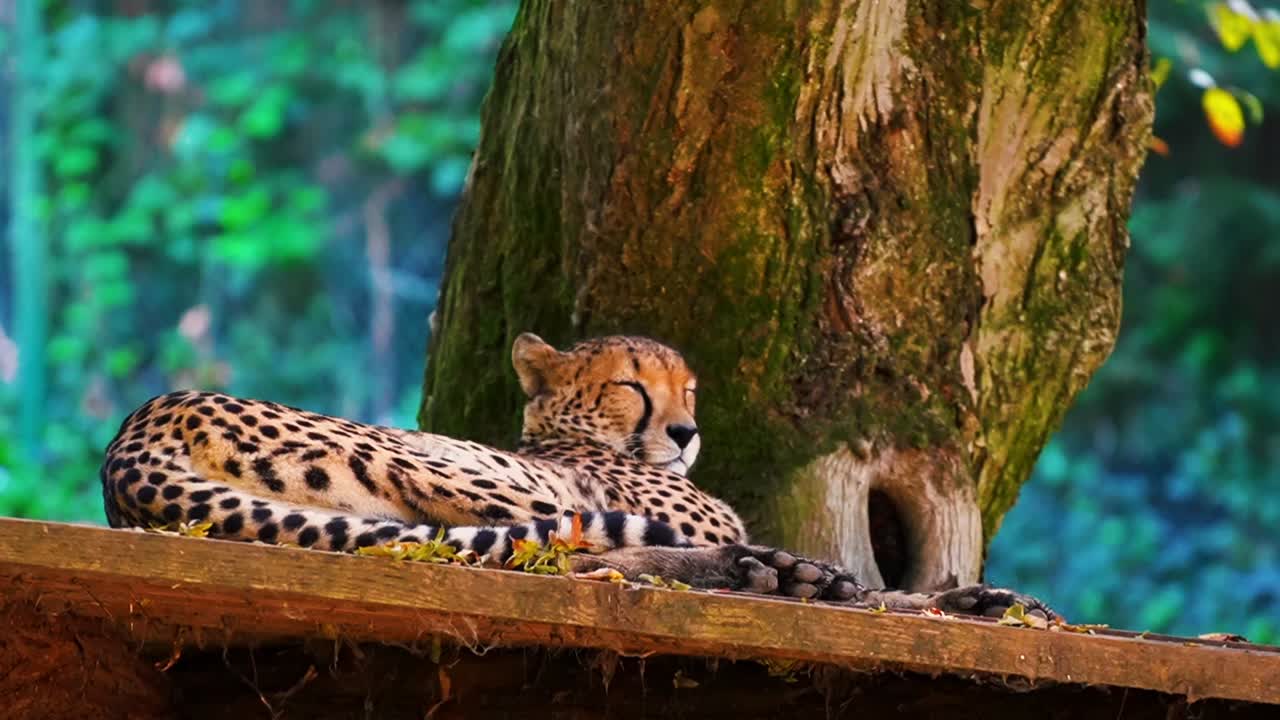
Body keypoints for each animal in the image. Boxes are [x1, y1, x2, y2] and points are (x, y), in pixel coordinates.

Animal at [100, 332, 1053, 618]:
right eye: (633, 385)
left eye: (689, 389)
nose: (687, 431)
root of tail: (129, 442)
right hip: (448, 470)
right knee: (565, 558)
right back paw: (776, 573)